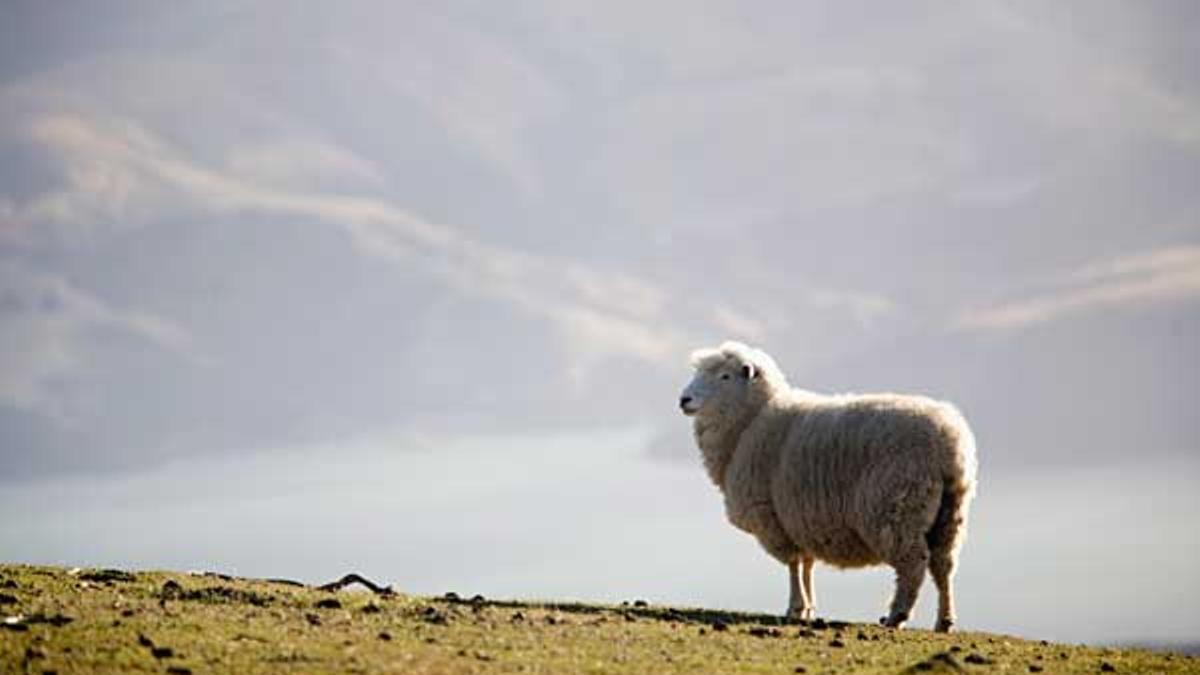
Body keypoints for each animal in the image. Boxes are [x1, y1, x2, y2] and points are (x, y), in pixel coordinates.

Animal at [681, 341, 979, 629]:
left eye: (725, 376)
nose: (684, 399)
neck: (750, 422)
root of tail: (948, 441)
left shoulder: (773, 517)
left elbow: (793, 563)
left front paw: (796, 607)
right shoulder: (801, 520)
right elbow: (807, 563)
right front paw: (808, 609)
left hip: (897, 508)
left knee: (913, 563)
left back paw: (897, 615)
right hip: (951, 512)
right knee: (943, 564)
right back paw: (944, 620)